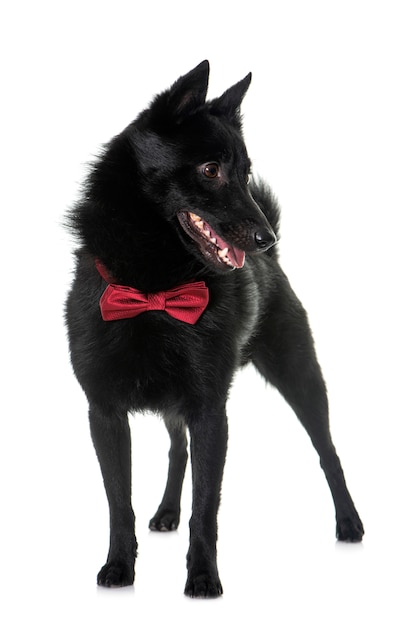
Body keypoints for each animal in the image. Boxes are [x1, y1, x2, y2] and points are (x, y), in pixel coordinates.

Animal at [64, 61, 362, 596]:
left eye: (245, 173)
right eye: (210, 170)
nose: (267, 238)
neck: (156, 289)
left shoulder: (209, 411)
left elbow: (206, 506)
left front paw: (203, 576)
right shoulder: (104, 413)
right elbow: (119, 502)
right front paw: (119, 567)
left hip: (299, 373)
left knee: (327, 449)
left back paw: (349, 523)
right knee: (176, 449)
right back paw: (165, 512)